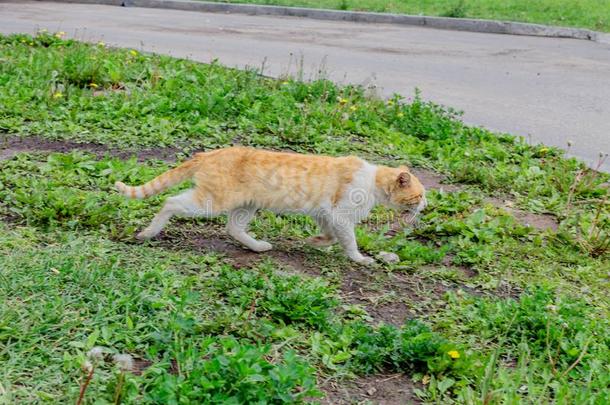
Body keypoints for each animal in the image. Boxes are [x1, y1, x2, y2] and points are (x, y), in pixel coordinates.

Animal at [116, 147, 426, 264]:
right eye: (420, 195)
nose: (426, 204)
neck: (373, 180)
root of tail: (211, 152)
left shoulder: (325, 214)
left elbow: (329, 236)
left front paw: (315, 242)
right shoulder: (341, 215)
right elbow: (349, 241)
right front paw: (360, 259)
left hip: (246, 206)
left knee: (233, 229)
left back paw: (258, 246)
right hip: (210, 202)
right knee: (170, 202)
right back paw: (148, 233)